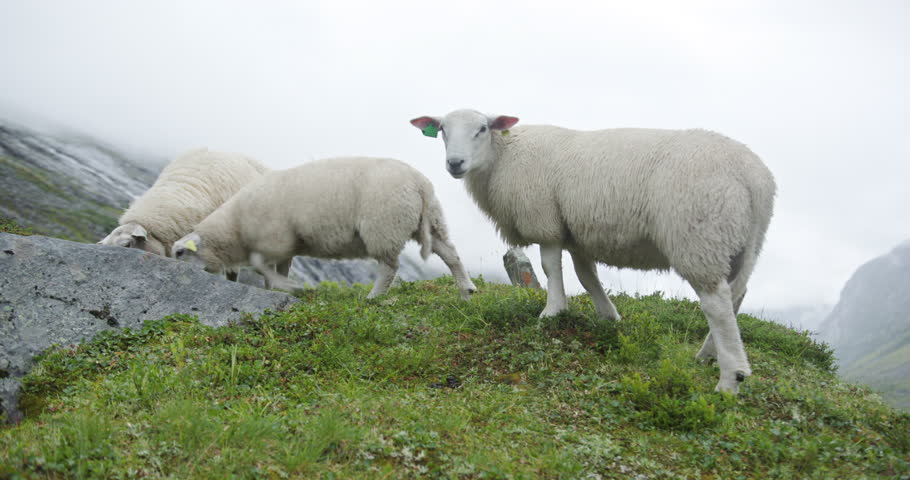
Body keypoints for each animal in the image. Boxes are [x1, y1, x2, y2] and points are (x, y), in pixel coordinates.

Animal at [170, 156, 478, 300]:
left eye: (179, 253)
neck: (234, 226)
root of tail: (419, 183)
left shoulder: (273, 239)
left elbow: (260, 266)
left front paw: (288, 287)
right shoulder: (285, 248)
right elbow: (276, 270)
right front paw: (278, 289)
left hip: (383, 226)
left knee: (390, 267)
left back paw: (373, 297)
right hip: (431, 221)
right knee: (451, 254)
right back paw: (467, 290)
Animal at [409, 109, 776, 393]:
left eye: (482, 128)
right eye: (442, 130)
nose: (455, 163)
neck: (504, 154)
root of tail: (755, 177)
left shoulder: (546, 221)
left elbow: (550, 267)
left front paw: (552, 312)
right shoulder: (576, 233)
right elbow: (587, 277)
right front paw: (609, 316)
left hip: (699, 236)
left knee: (716, 303)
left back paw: (730, 380)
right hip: (742, 243)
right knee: (736, 296)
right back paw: (708, 355)